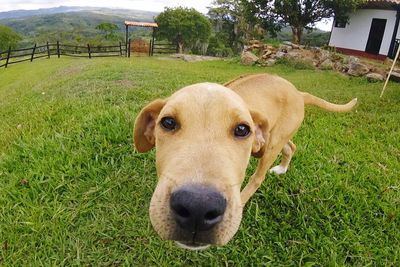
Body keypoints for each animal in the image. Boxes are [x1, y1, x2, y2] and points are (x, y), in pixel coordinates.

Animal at [133, 73, 358, 251]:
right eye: (168, 122)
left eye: (242, 129)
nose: (198, 207)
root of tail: (298, 92)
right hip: (275, 137)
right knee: (291, 147)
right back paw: (282, 168)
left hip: (271, 146)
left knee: (259, 177)